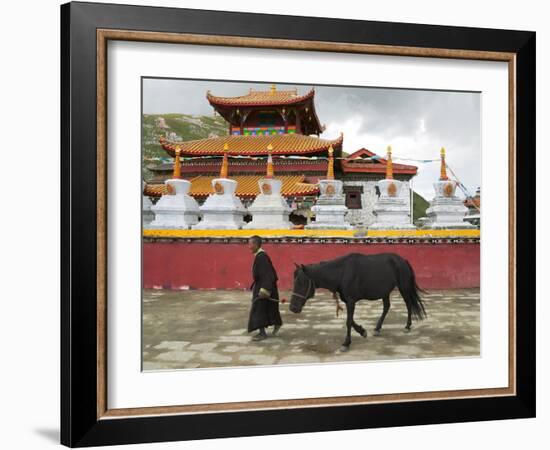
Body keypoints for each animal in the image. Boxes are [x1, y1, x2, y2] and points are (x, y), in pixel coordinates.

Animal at [292, 253, 430, 352]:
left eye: (301, 282)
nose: (293, 307)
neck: (342, 272)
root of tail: (403, 260)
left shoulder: (351, 301)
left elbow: (348, 322)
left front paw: (346, 343)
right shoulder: (348, 301)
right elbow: (351, 320)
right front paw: (363, 331)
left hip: (403, 287)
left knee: (408, 304)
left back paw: (407, 326)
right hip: (385, 291)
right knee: (386, 307)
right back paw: (377, 329)